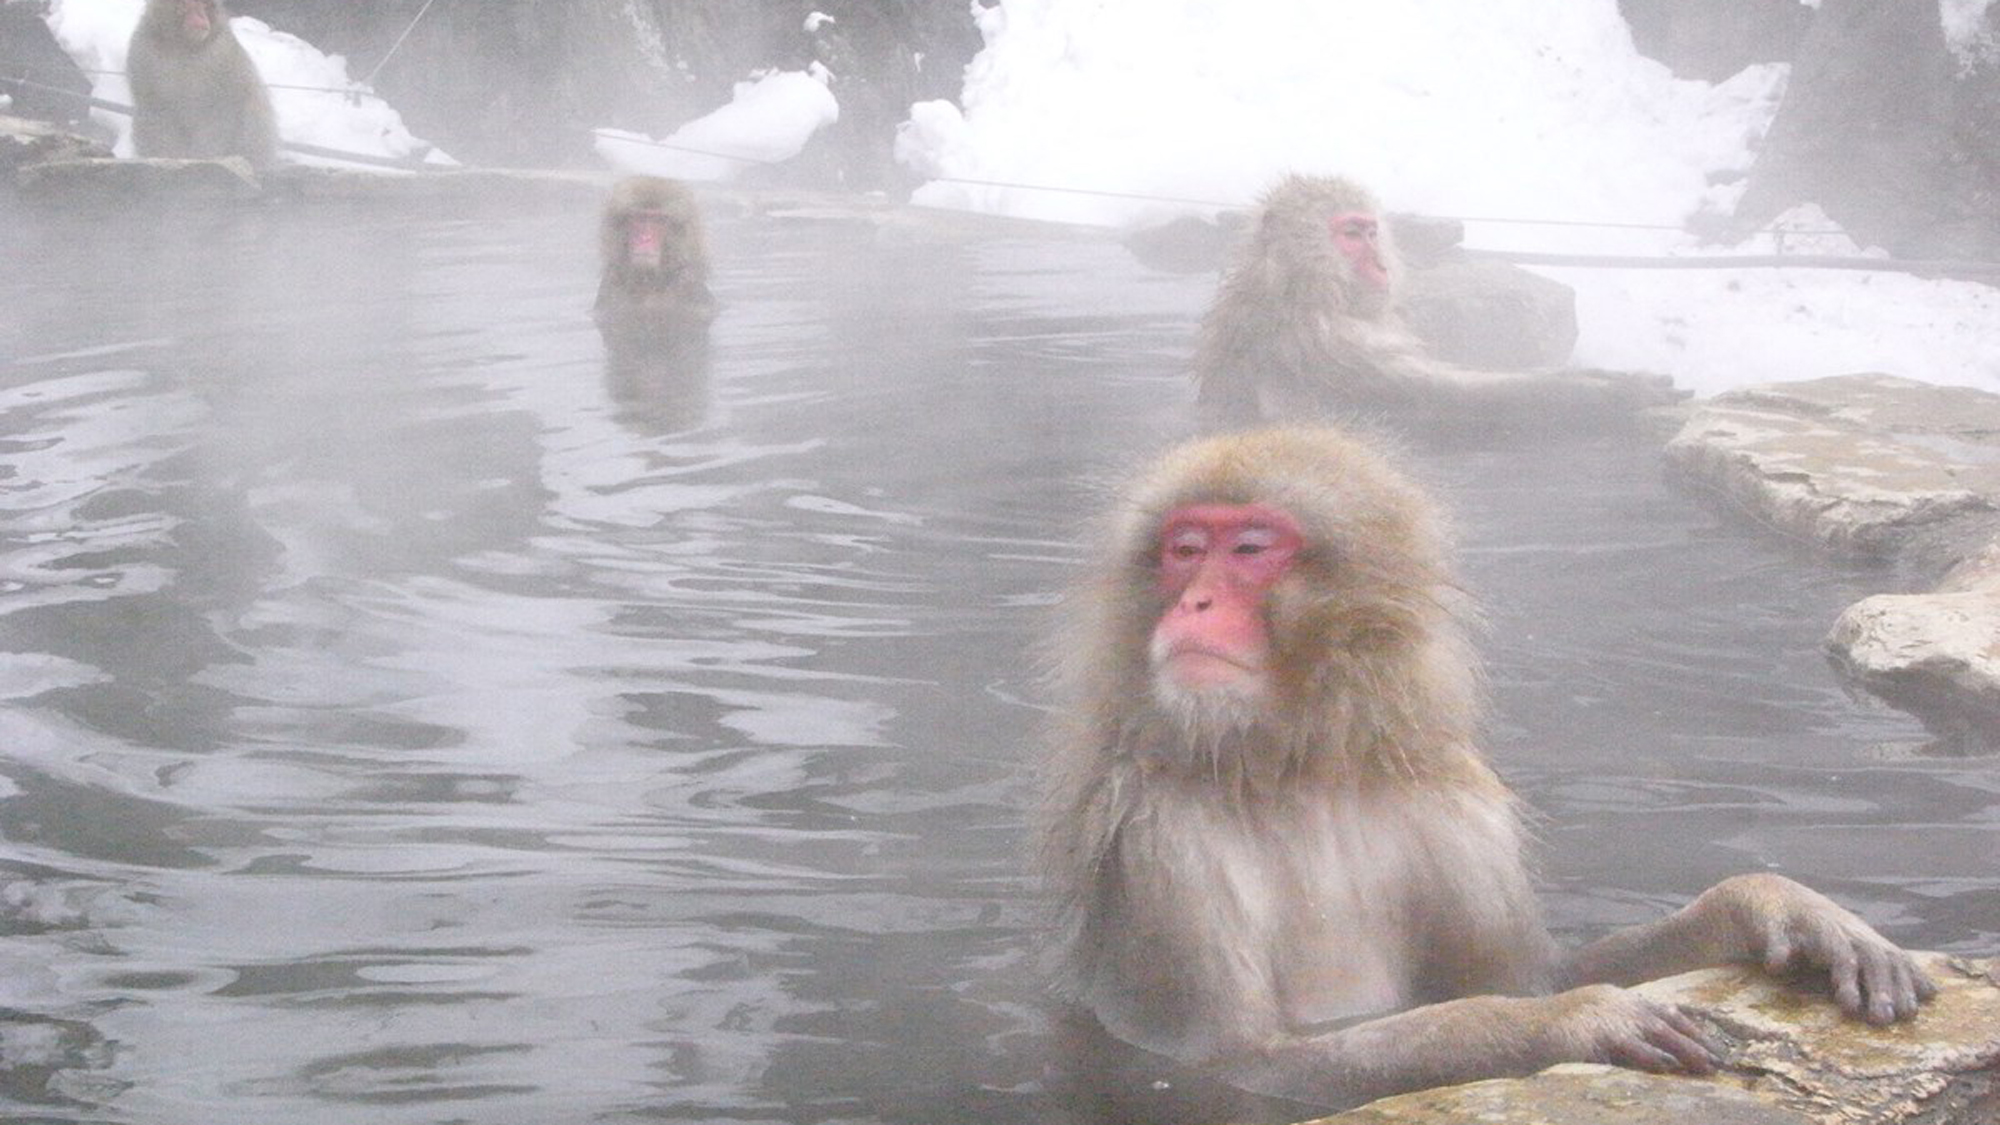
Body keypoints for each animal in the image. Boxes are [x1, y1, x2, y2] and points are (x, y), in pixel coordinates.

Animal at [127, 0, 278, 166]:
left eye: (204, 4)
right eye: (187, 4)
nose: (200, 16)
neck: (183, 48)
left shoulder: (222, 54)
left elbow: (221, 111)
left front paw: (203, 156)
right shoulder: (141, 48)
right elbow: (156, 109)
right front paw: (170, 156)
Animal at [1048, 424, 1936, 1104]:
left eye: (1251, 548)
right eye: (1184, 549)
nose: (1193, 602)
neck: (1302, 770)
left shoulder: (1459, 804)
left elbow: (1521, 971)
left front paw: (1770, 904)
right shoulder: (1155, 835)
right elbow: (1232, 1062)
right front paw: (1568, 1020)